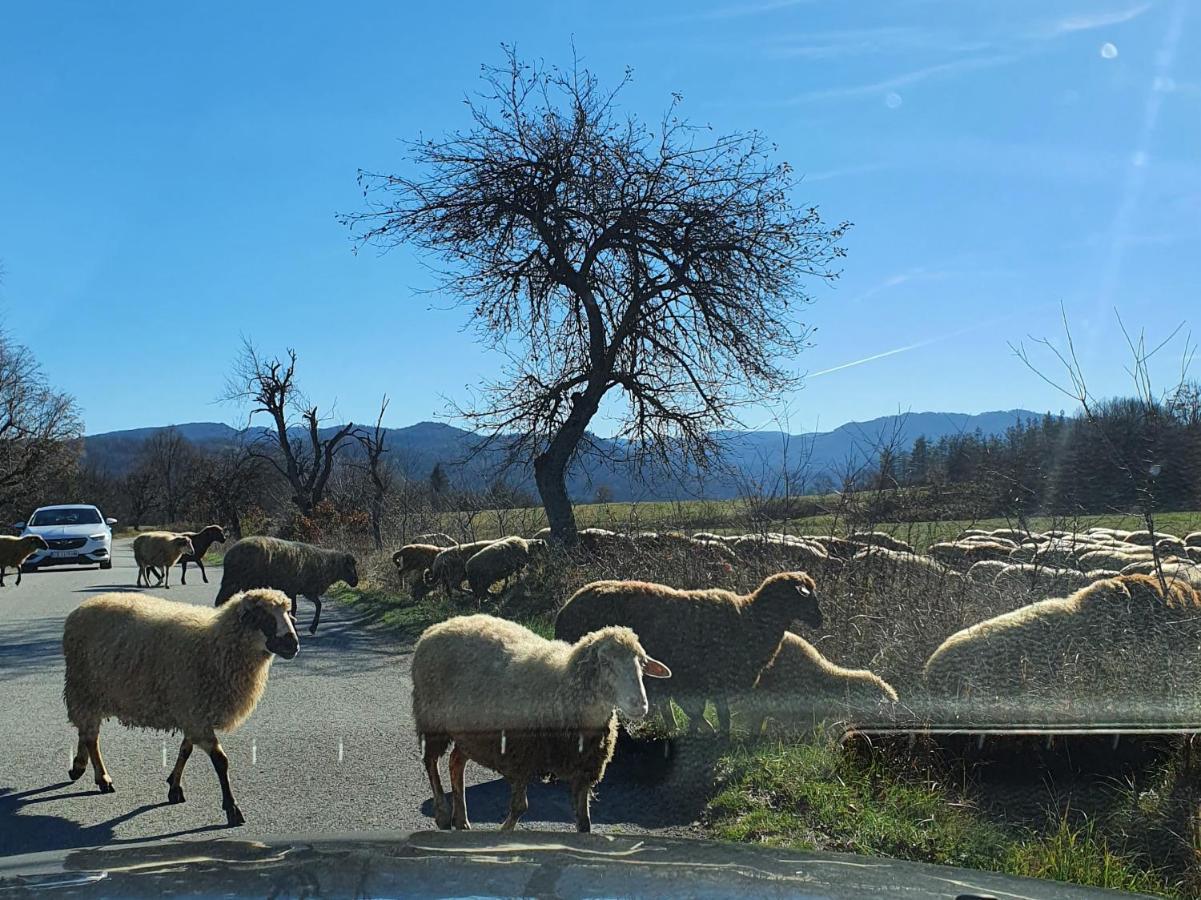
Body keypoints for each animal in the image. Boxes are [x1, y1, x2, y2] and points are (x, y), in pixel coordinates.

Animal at [62, 586, 299, 826]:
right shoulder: (195, 713)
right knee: (91, 737)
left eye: (288, 614)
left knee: (85, 732)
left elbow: (186, 750)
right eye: (264, 618)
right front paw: (232, 808)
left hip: (90, 693)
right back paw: (102, 777)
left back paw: (79, 766)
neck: (216, 645)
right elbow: (221, 761)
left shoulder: (192, 712)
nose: (293, 644)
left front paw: (174, 787)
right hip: (84, 689)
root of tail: (82, 607)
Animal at [214, 538, 355, 634]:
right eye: (349, 568)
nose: (356, 582)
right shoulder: (297, 589)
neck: (325, 566)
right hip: (234, 581)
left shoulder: (304, 590)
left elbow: (317, 605)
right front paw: (300, 627)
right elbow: (297, 607)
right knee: (221, 600)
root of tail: (229, 554)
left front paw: (311, 628)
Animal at [413, 615, 672, 831]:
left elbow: (584, 823)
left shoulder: (584, 771)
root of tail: (441, 625)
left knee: (456, 762)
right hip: (431, 720)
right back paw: (443, 815)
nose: (640, 704)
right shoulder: (519, 757)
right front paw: (502, 833)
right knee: (431, 762)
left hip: (470, 734)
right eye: (606, 663)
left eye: (642, 663)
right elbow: (520, 807)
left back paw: (462, 821)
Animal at [554, 571, 821, 735]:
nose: (820, 620)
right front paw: (716, 735)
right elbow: (715, 715)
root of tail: (565, 609)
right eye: (807, 597)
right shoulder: (705, 680)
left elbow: (705, 713)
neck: (750, 619)